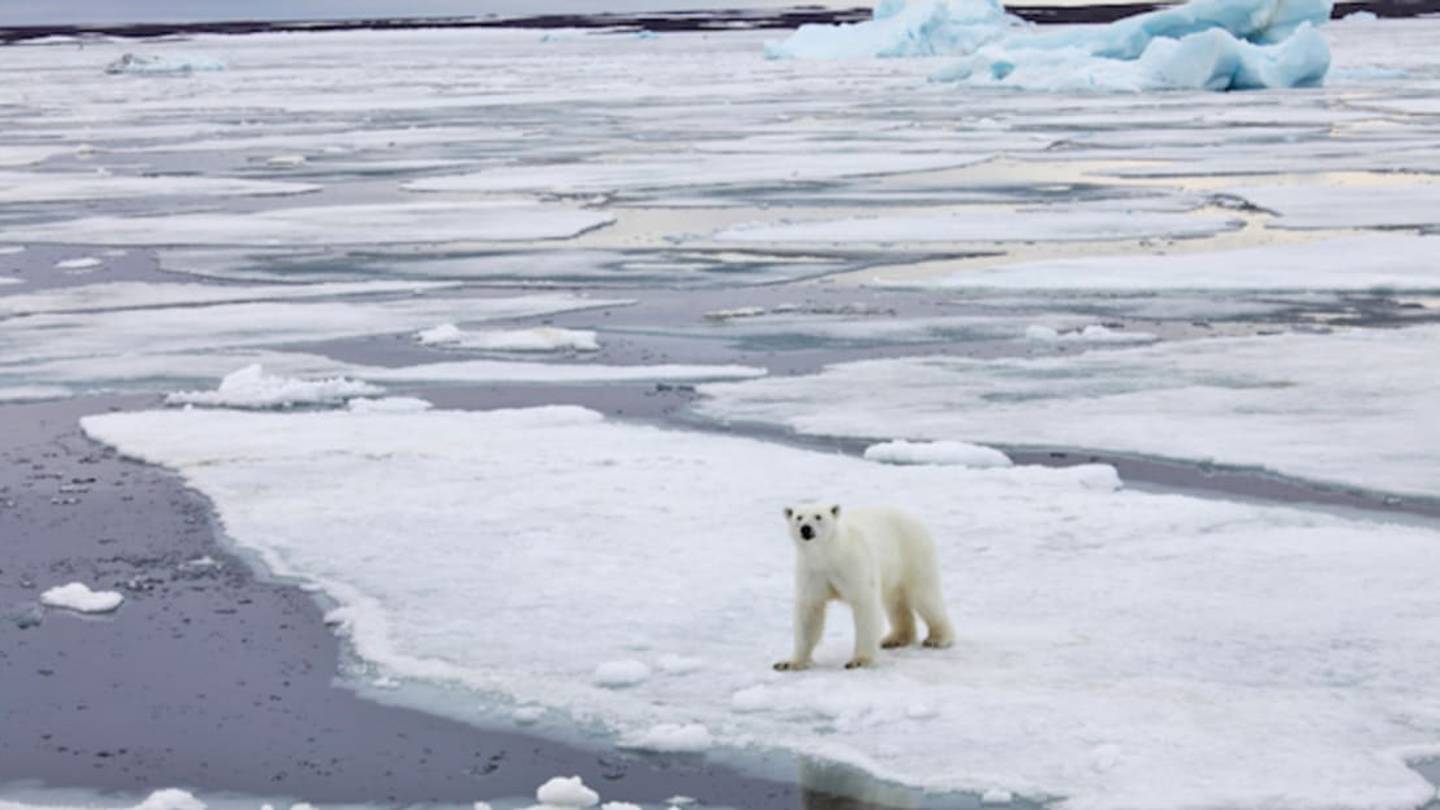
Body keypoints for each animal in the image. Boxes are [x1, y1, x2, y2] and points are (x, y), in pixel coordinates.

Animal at [774, 503, 954, 671]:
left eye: (818, 516)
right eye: (798, 517)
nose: (805, 528)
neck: (830, 554)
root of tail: (914, 518)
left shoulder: (853, 565)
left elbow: (864, 605)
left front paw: (859, 661)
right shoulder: (812, 572)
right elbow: (810, 612)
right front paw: (788, 663)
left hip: (912, 554)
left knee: (924, 596)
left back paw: (938, 639)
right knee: (895, 601)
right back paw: (895, 639)